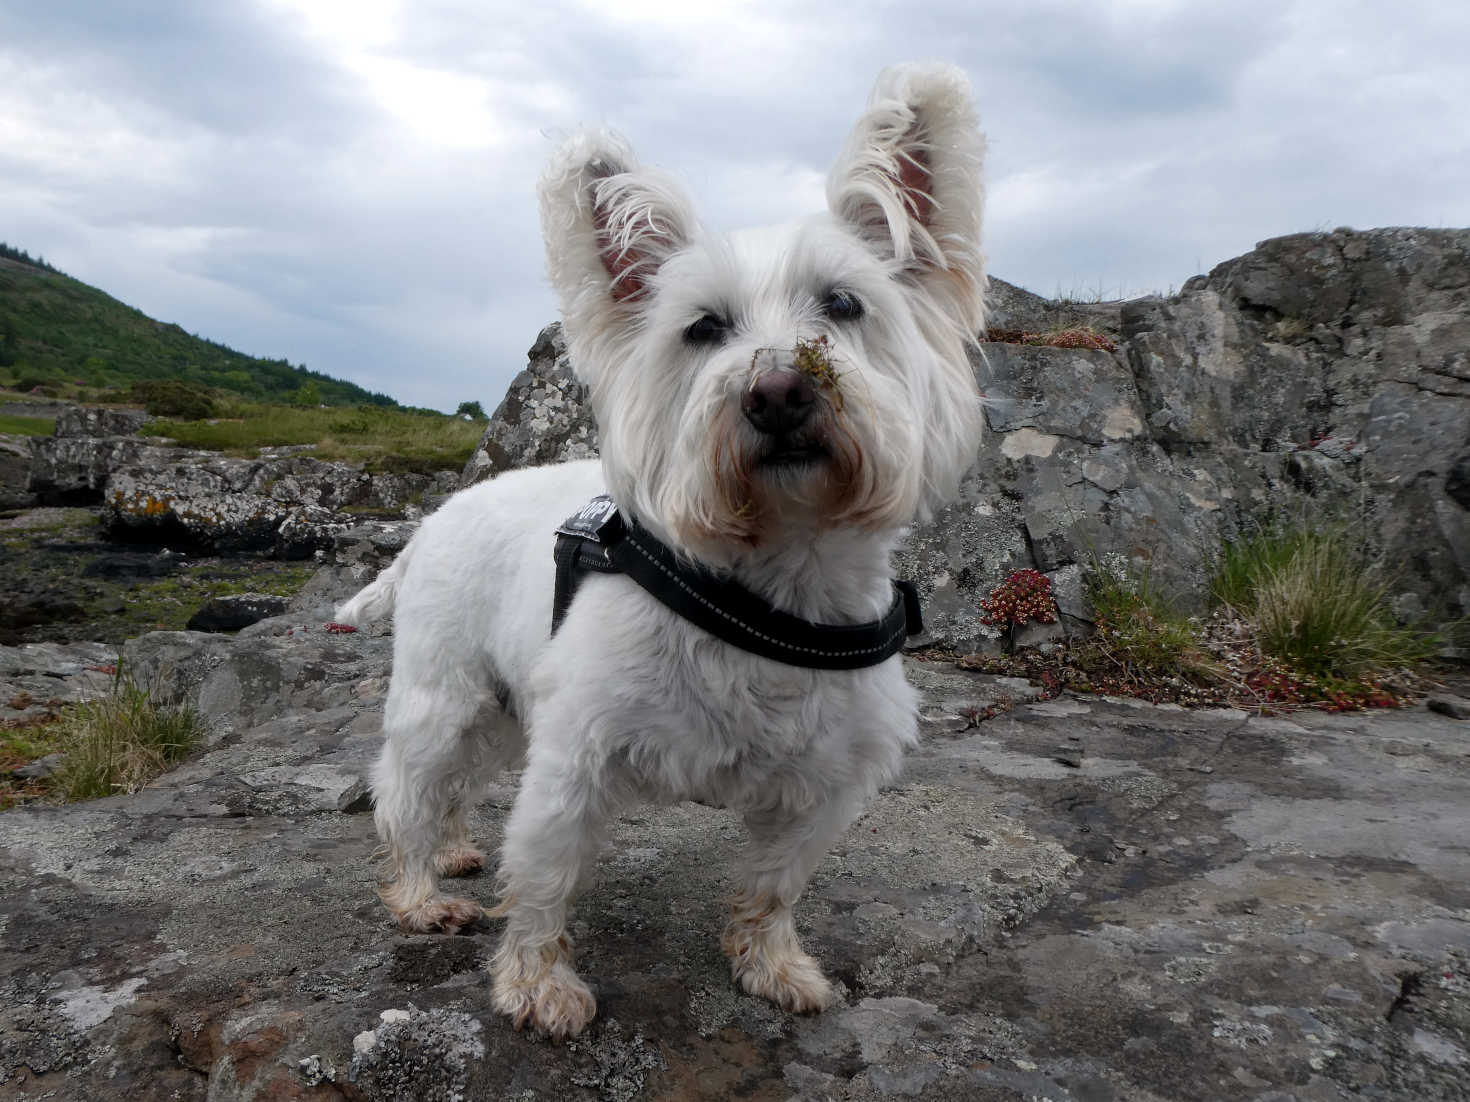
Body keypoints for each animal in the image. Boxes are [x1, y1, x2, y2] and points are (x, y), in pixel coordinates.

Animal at [333, 64, 987, 1040]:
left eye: (843, 303)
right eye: (703, 327)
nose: (779, 392)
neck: (771, 582)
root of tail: (433, 521)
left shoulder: (825, 786)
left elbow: (773, 887)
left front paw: (773, 967)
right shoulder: (573, 756)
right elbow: (545, 881)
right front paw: (537, 986)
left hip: (500, 702)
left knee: (455, 789)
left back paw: (451, 854)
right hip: (442, 693)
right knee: (408, 788)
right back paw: (420, 892)